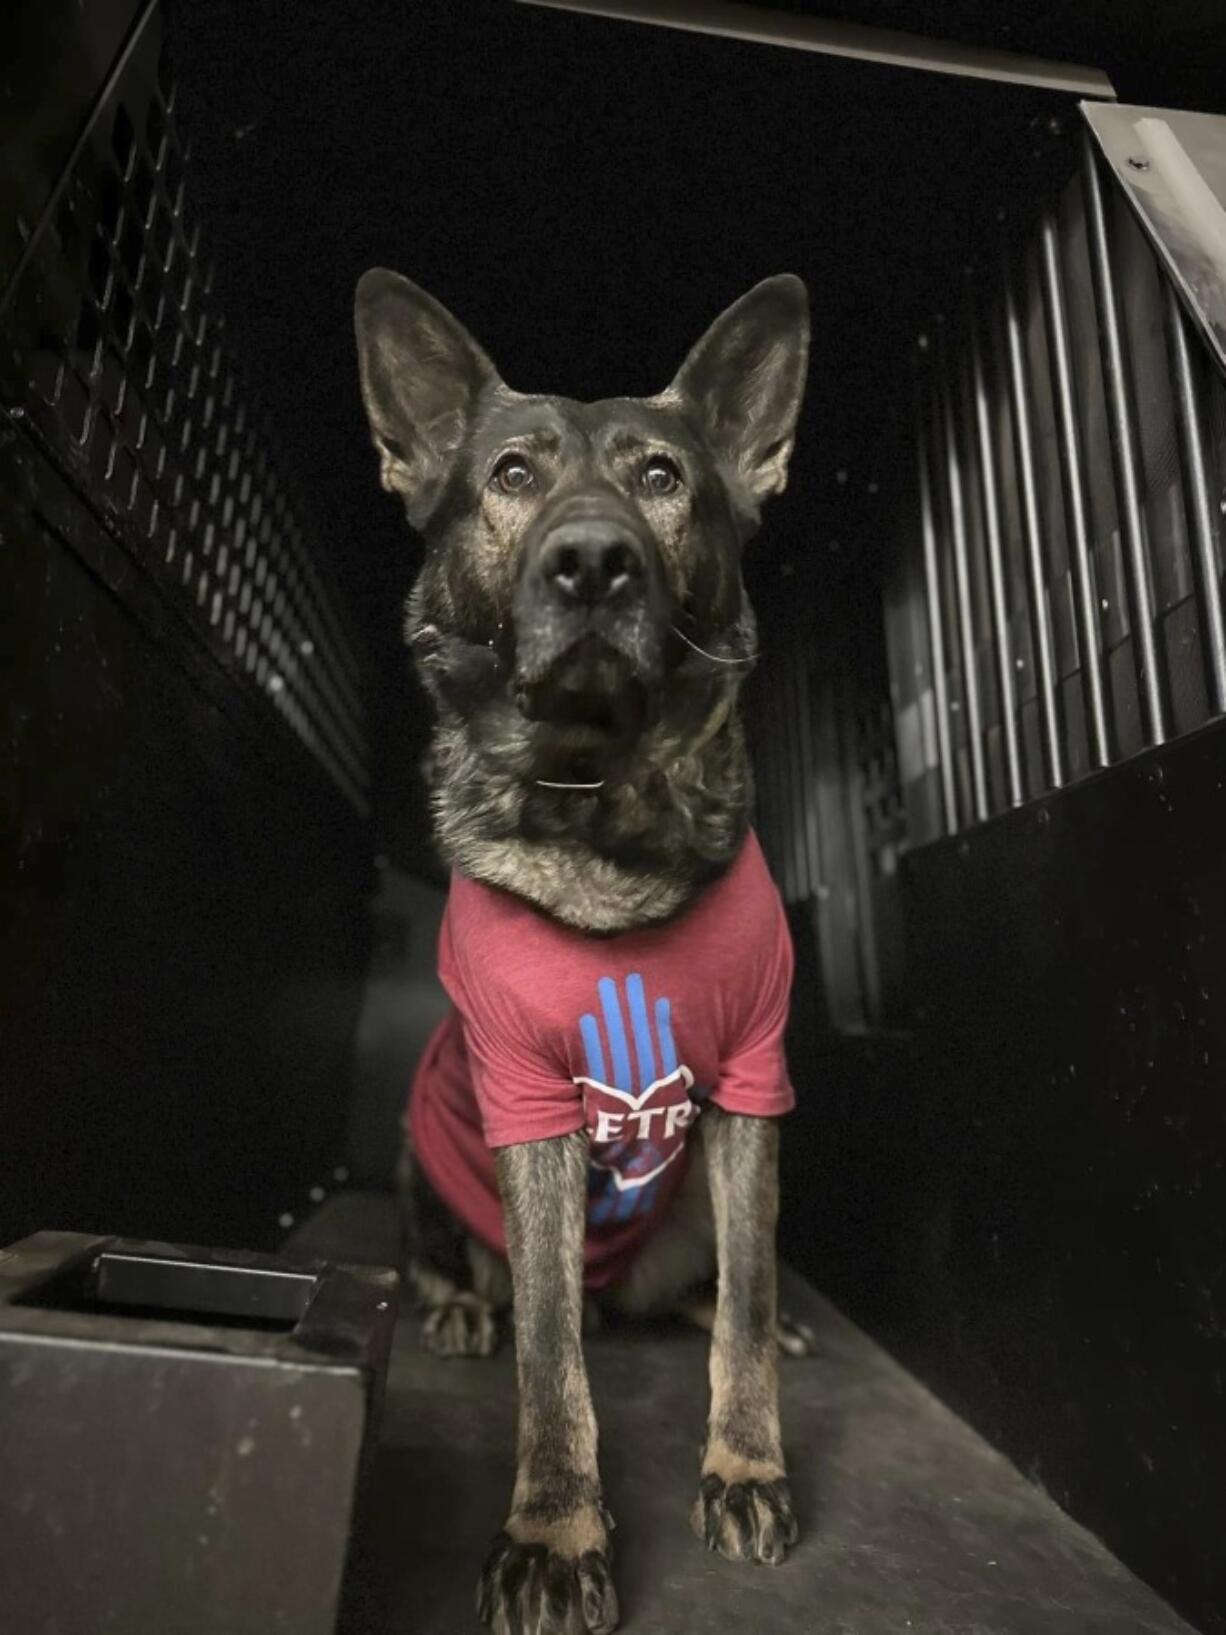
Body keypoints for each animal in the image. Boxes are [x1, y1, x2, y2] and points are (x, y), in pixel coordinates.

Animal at [354, 271, 810, 1635]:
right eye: (510, 473)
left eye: (662, 477)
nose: (594, 561)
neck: (605, 817)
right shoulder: (525, 1103)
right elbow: (550, 1347)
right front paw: (554, 1533)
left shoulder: (752, 1087)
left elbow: (749, 1294)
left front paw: (745, 1463)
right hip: (420, 1147)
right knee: (480, 1279)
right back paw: (457, 1305)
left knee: (703, 1288)